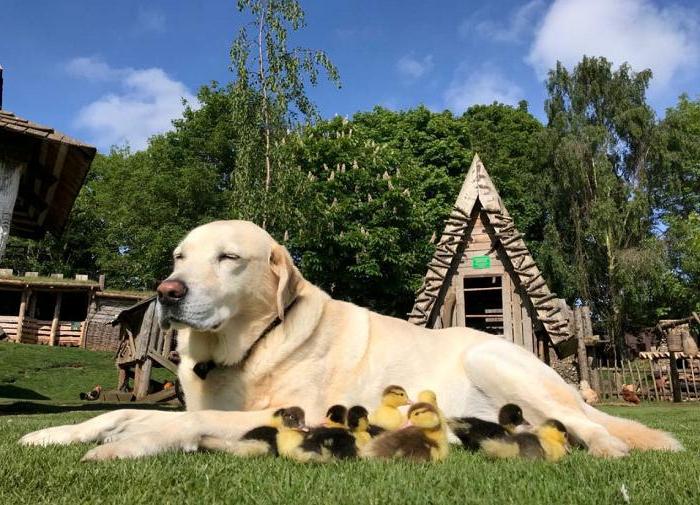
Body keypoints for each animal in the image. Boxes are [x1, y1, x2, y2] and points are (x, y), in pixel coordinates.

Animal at [17, 219, 684, 458]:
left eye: (228, 258)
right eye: (180, 256)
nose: (168, 290)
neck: (242, 351)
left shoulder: (298, 411)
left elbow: (176, 420)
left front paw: (134, 441)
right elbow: (119, 411)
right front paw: (56, 433)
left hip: (495, 357)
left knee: (594, 431)